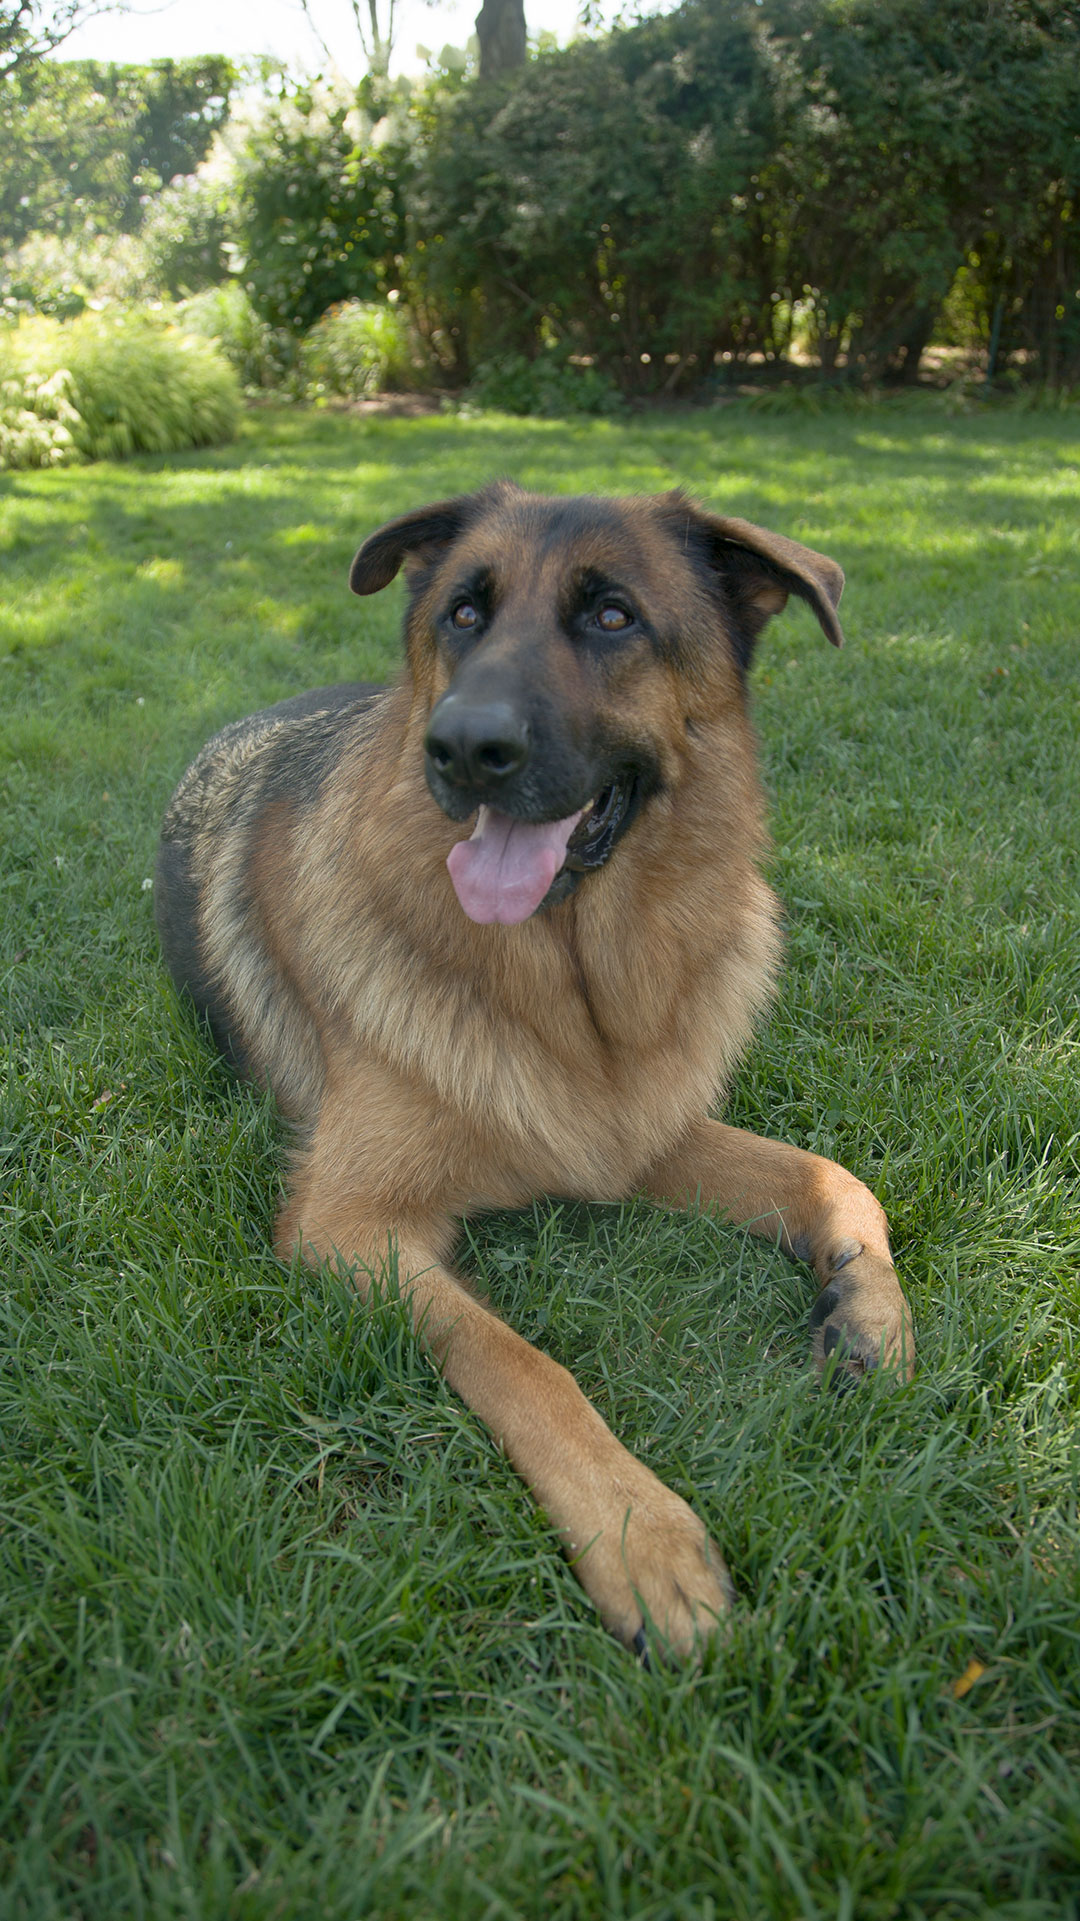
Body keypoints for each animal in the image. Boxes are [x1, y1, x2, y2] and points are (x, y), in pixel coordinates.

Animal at [153, 487, 907, 1659]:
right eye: (465, 613)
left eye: (612, 616)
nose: (463, 745)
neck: (571, 987)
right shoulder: (348, 1227)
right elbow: (521, 1360)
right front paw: (641, 1534)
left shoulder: (630, 1131)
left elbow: (837, 1173)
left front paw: (871, 1311)